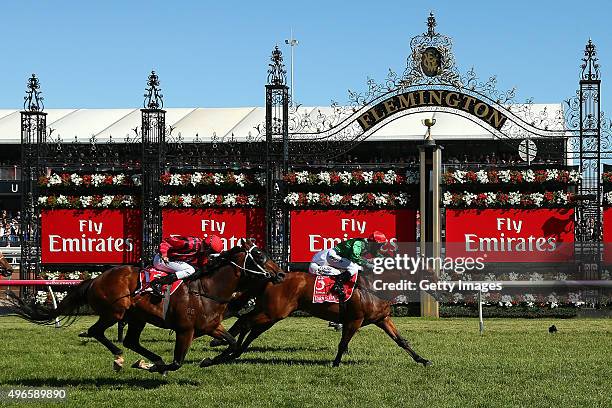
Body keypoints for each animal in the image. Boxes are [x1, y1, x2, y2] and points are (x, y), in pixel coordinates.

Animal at [7, 241, 284, 374]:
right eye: (260, 256)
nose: (281, 274)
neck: (207, 290)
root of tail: (95, 279)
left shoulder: (211, 326)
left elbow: (234, 345)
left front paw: (209, 360)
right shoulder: (185, 330)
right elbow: (177, 363)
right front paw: (152, 367)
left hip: (136, 317)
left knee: (131, 340)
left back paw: (142, 358)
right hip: (115, 311)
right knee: (98, 332)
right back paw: (120, 358)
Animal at [201, 272, 430, 368]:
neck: (372, 287)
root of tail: (274, 276)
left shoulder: (382, 318)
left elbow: (401, 341)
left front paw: (422, 359)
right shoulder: (354, 320)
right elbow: (343, 343)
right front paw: (335, 363)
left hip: (270, 313)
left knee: (248, 326)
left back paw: (226, 352)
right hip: (273, 312)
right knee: (246, 322)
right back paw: (222, 348)